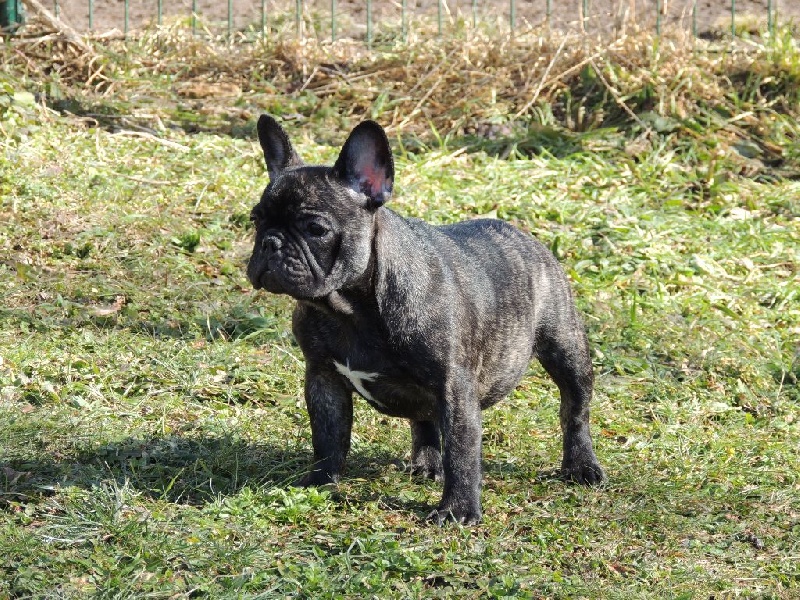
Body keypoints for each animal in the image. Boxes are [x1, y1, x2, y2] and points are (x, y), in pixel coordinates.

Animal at [247, 113, 604, 524]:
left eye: (315, 229)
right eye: (255, 220)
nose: (270, 242)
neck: (351, 309)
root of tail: (523, 234)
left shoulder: (455, 388)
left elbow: (462, 452)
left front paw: (459, 509)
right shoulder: (322, 378)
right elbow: (327, 437)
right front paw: (320, 481)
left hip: (566, 349)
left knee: (574, 410)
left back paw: (581, 466)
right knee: (425, 420)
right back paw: (428, 464)